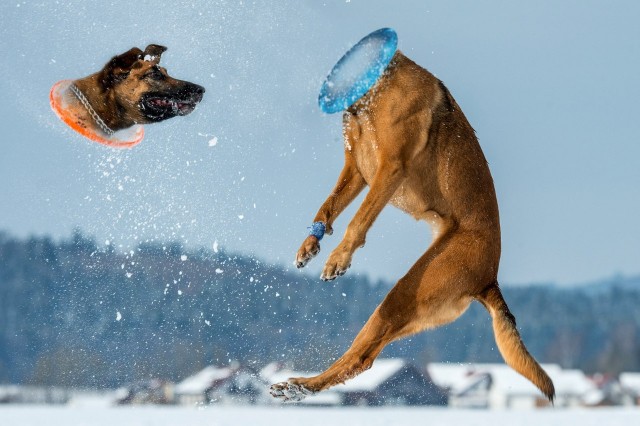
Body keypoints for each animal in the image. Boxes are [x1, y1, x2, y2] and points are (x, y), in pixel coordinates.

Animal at [270, 50, 556, 402]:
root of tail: (490, 279)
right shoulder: (357, 168)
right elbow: (329, 205)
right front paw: (310, 245)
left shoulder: (391, 167)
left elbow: (359, 218)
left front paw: (339, 257)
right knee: (364, 356)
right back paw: (297, 387)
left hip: (406, 293)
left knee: (361, 357)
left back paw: (301, 386)